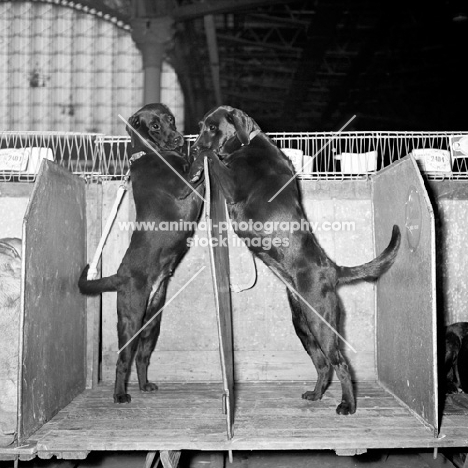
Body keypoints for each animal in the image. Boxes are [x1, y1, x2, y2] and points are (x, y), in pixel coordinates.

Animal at [77, 104, 204, 404]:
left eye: (170, 119)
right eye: (154, 126)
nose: (178, 138)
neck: (152, 154)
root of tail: (118, 275)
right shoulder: (184, 185)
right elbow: (194, 166)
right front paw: (199, 151)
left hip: (152, 322)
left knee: (141, 358)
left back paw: (145, 385)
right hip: (132, 318)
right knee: (123, 360)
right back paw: (120, 395)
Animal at [188, 105, 400, 414]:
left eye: (213, 128)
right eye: (201, 125)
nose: (192, 147)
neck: (247, 144)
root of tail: (332, 269)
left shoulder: (234, 185)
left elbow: (213, 158)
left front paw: (199, 159)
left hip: (321, 322)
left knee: (340, 364)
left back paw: (347, 405)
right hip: (303, 326)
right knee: (323, 365)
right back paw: (316, 394)